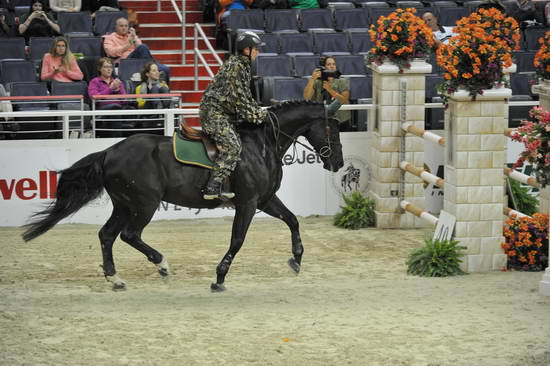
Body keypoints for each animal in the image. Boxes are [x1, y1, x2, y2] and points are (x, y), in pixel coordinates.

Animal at [24, 100, 350, 292]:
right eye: (332, 128)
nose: (338, 163)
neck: (261, 144)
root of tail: (109, 152)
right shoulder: (247, 203)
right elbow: (238, 240)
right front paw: (219, 278)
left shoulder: (266, 200)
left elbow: (292, 220)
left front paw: (296, 258)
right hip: (144, 204)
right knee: (129, 235)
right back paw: (161, 264)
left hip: (124, 204)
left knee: (107, 235)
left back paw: (115, 278)